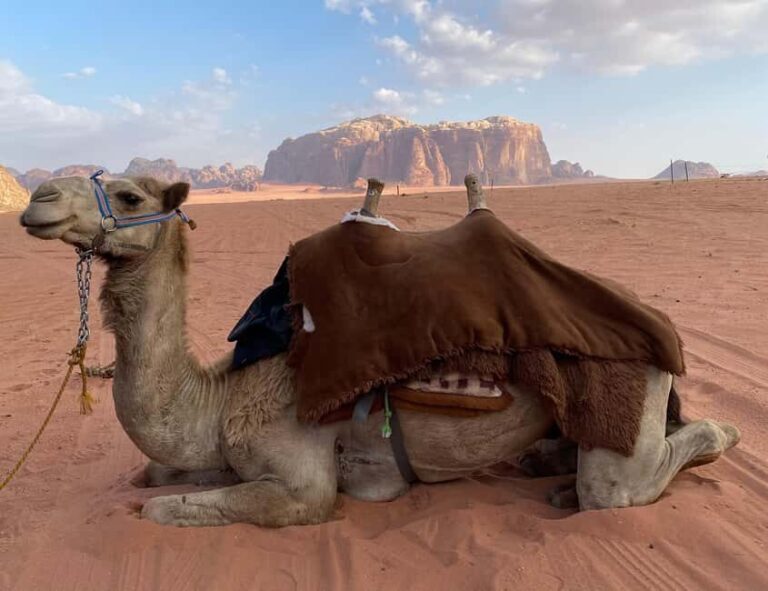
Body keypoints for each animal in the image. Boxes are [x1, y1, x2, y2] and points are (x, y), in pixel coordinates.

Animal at [18, 173, 740, 527]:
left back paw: (720, 434)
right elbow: (155, 476)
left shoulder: (301, 481)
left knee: (625, 479)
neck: (219, 395)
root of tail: (663, 326)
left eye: (130, 195)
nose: (37, 199)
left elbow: (162, 505)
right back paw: (545, 469)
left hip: (628, 399)